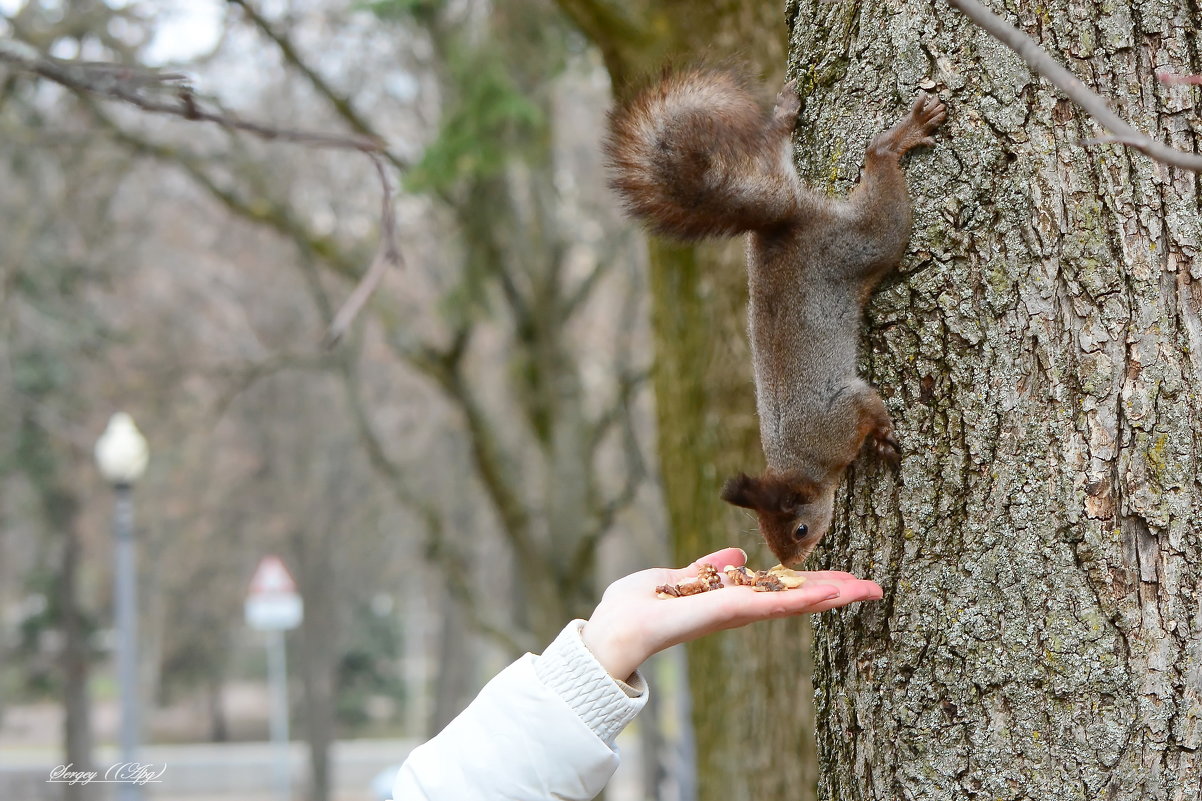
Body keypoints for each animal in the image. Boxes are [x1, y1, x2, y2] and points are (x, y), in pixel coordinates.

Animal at [605, 70, 942, 567]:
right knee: (774, 153)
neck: (801, 464)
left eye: (800, 530)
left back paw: (900, 136)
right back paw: (784, 116)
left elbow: (869, 404)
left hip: (859, 246)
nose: (789, 565)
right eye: (765, 534)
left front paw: (882, 437)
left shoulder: (841, 414)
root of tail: (786, 221)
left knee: (879, 189)